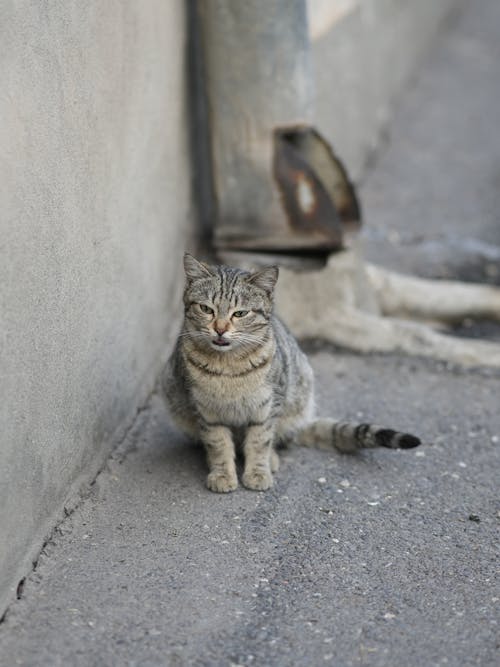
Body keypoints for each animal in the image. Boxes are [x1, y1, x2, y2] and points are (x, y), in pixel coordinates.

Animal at [162, 253, 420, 494]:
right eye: (206, 309)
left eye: (240, 314)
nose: (220, 329)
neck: (228, 366)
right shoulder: (206, 411)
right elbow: (218, 444)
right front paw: (222, 474)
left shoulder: (268, 405)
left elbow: (259, 441)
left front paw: (258, 472)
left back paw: (272, 459)